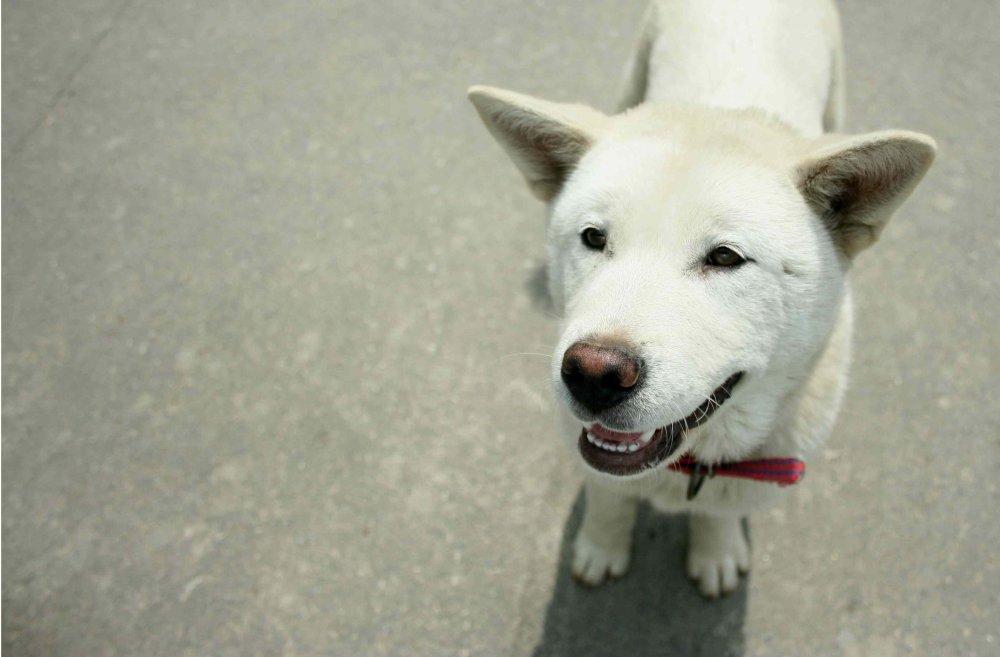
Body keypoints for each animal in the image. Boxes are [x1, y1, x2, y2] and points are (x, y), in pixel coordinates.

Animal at [468, 0, 936, 596]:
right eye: (593, 238)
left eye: (725, 258)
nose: (594, 373)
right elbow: (607, 494)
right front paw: (601, 543)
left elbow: (714, 514)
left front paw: (715, 549)